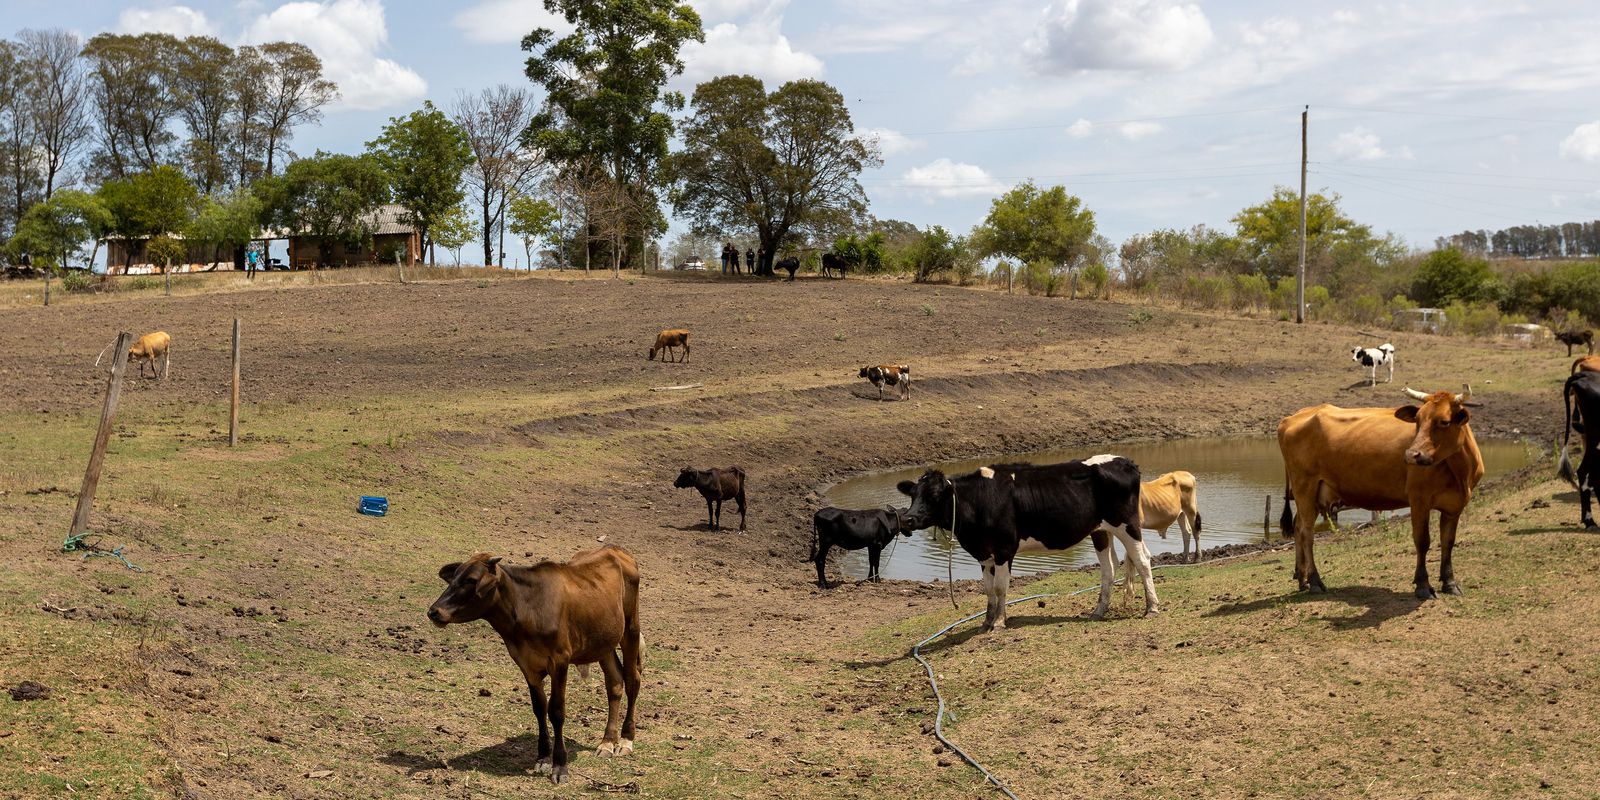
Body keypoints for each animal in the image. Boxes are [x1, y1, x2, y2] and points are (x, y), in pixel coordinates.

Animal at [432, 547, 649, 784]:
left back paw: (626, 740)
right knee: (615, 682)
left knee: (632, 680)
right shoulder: (526, 664)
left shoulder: (560, 660)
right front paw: (543, 758)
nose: (434, 611)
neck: (527, 607)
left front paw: (560, 765)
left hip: (631, 627)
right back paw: (608, 742)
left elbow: (556, 710)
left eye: (471, 579)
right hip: (603, 640)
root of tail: (614, 550)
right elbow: (539, 708)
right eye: (453, 577)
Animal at [896, 457, 1158, 630]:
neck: (980, 500)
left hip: (1127, 524)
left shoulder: (1004, 548)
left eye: (934, 496)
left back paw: (1152, 608)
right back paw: (1098, 611)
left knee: (1143, 560)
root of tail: (1125, 461)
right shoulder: (984, 553)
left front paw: (999, 622)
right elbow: (988, 589)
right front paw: (986, 621)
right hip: (1101, 530)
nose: (908, 519)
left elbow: (1000, 587)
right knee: (1109, 568)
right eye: (913, 494)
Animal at [1273, 384, 1484, 598]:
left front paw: (1450, 583)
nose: (1411, 455)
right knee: (1307, 532)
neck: (1459, 472)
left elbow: (1448, 541)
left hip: (1312, 494)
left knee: (1298, 526)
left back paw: (1302, 579)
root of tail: (1294, 416)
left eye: (1444, 422)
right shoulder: (1419, 500)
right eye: (1417, 420)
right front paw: (1423, 585)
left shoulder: (1455, 505)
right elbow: (1422, 541)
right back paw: (1315, 581)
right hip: (1304, 486)